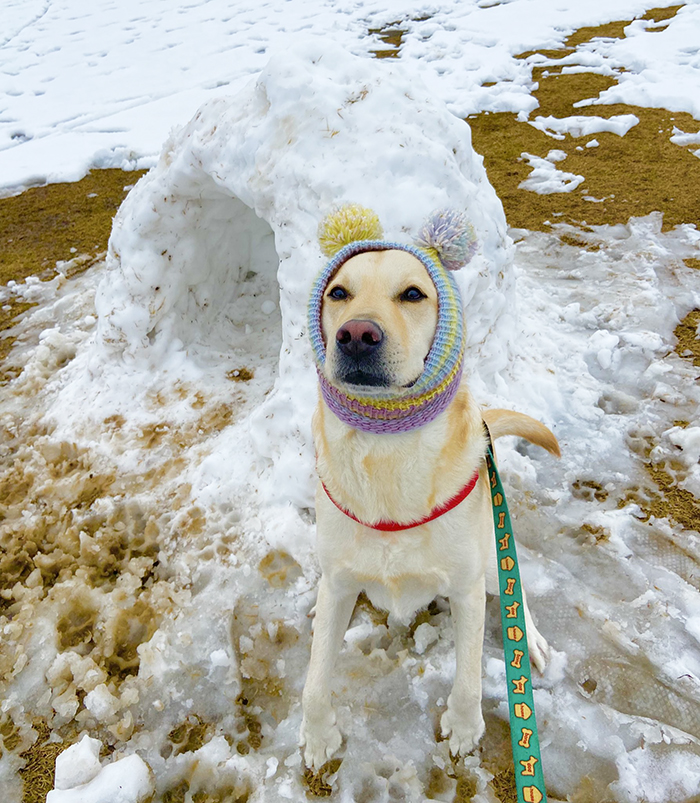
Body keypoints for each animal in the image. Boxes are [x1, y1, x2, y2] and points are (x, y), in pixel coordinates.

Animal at [298, 207, 560, 772]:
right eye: (339, 293)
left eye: (413, 294)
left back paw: (531, 641)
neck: (386, 455)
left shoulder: (465, 587)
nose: (355, 334)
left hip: (492, 561)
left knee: (515, 591)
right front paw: (317, 735)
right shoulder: (340, 580)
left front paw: (463, 728)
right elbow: (313, 680)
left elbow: (467, 679)